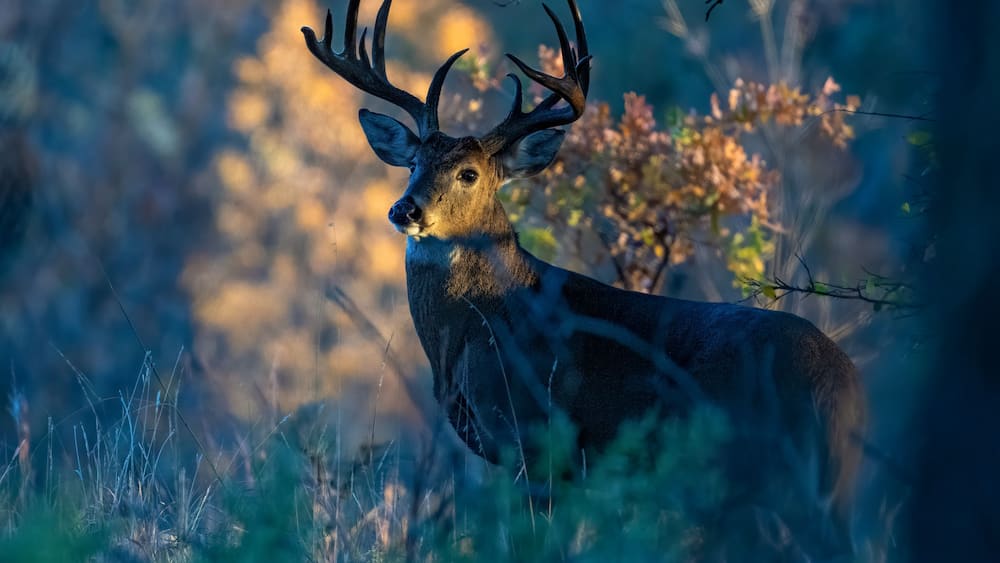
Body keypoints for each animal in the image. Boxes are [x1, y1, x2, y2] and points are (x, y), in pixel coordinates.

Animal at [302, 0, 865, 556]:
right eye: (414, 163)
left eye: (469, 173)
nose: (406, 209)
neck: (482, 323)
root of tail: (841, 381)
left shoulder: (533, 437)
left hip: (764, 466)